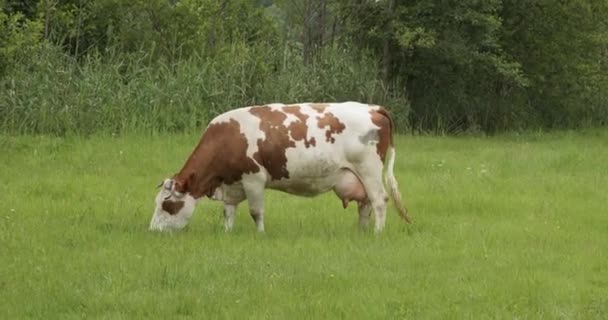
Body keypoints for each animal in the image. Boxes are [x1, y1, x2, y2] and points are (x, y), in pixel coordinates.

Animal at [149, 101, 410, 231]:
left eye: (166, 204)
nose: (153, 231)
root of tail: (372, 107)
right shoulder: (232, 183)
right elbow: (229, 211)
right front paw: (227, 233)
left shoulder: (254, 178)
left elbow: (256, 212)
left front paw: (260, 234)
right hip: (359, 176)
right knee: (365, 205)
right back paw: (361, 232)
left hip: (369, 170)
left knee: (379, 201)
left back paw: (377, 233)